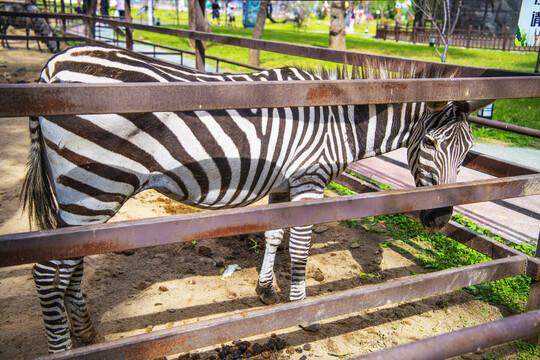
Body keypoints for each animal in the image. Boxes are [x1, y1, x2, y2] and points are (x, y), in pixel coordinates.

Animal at [23, 45, 492, 352]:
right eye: (429, 142)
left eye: (468, 152)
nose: (439, 218)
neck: (339, 118)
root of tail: (53, 66)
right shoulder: (309, 180)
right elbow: (300, 247)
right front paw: (303, 313)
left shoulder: (285, 182)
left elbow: (274, 236)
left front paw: (266, 292)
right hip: (96, 185)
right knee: (46, 271)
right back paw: (62, 348)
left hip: (86, 194)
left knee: (69, 263)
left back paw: (84, 332)